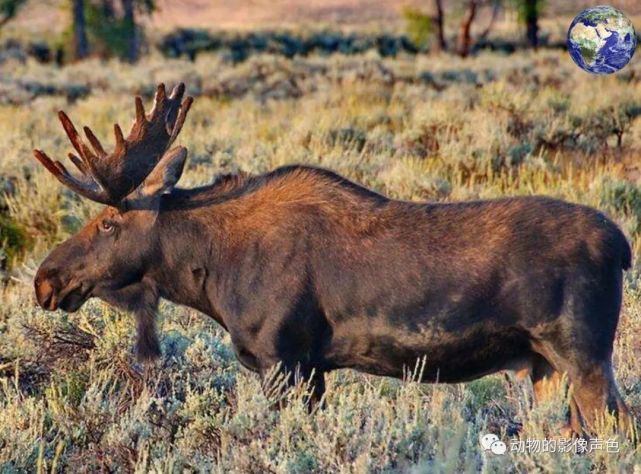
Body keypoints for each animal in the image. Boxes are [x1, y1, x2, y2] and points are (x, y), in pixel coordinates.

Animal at [33, 83, 632, 436]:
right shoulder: (314, 368)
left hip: (582, 353)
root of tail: (623, 247)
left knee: (617, 429)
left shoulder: (282, 359)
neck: (211, 275)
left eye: (107, 223)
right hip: (543, 364)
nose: (45, 279)